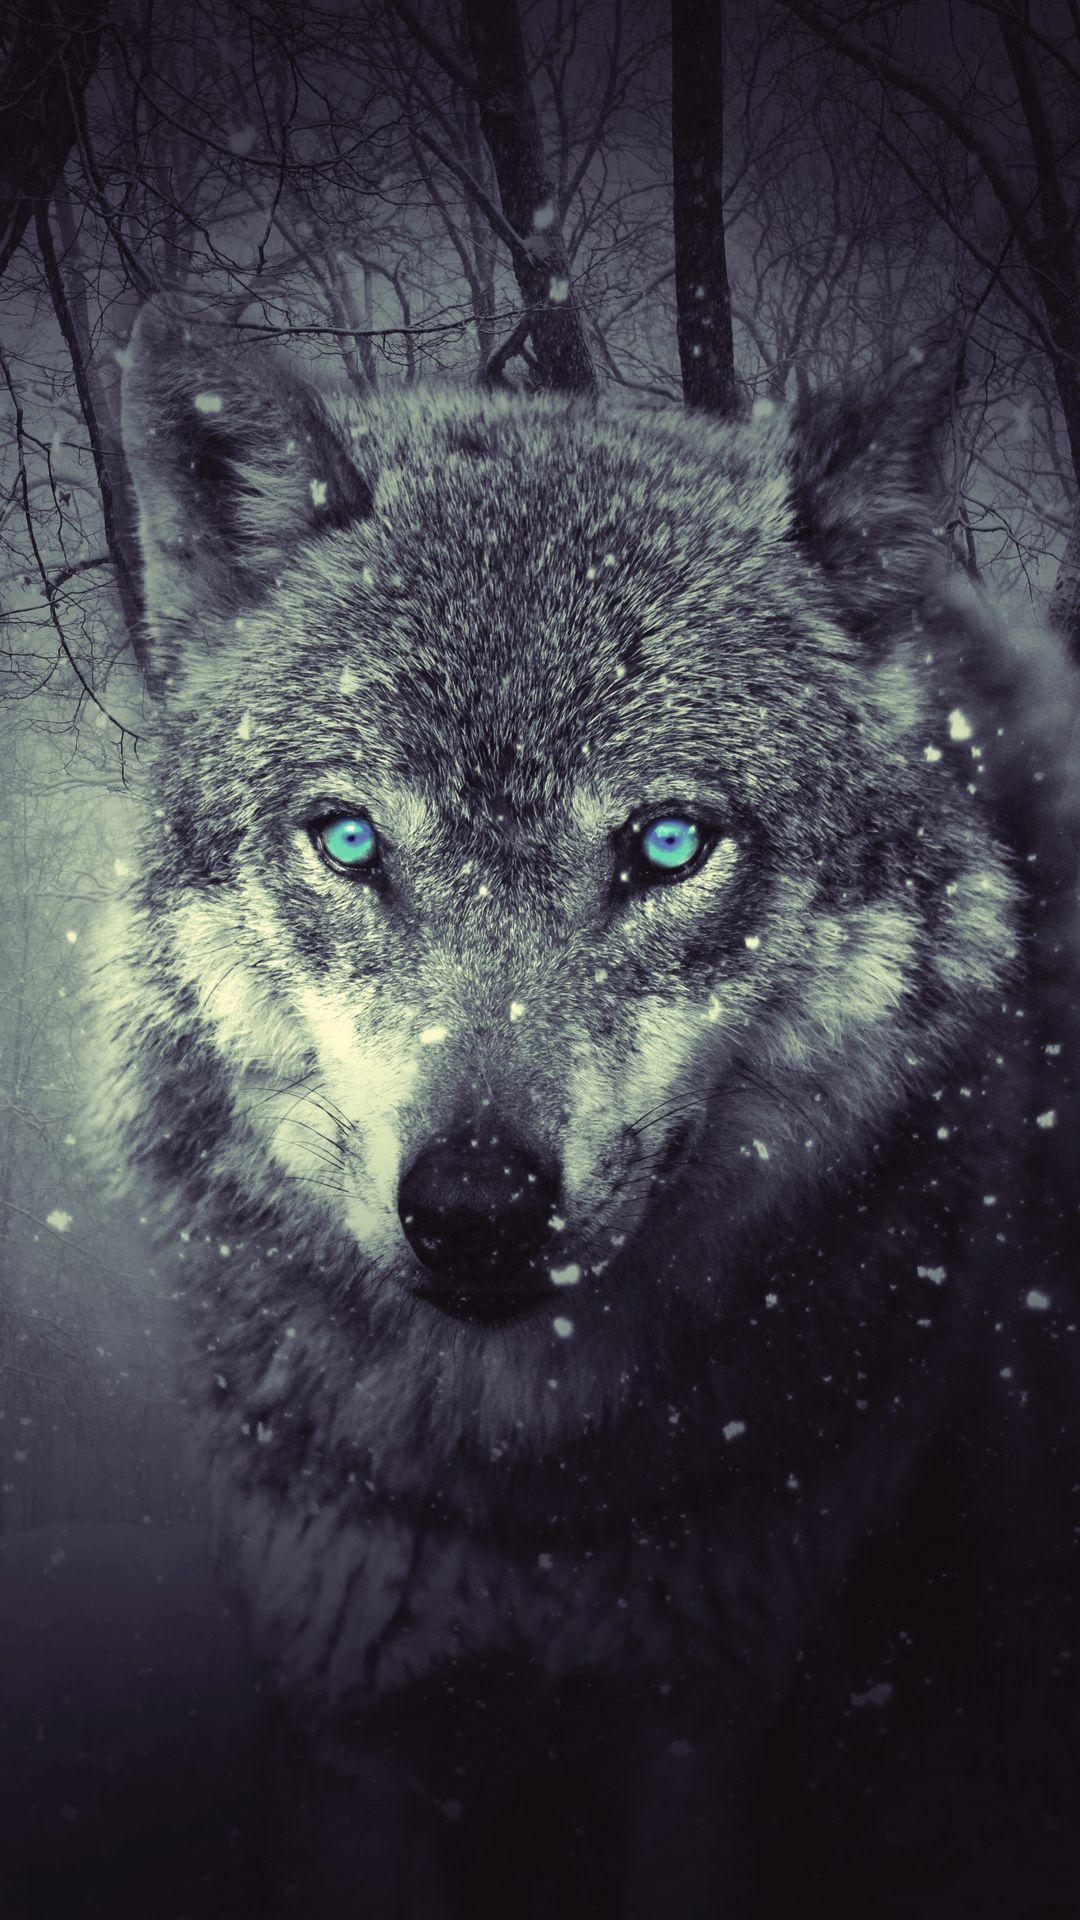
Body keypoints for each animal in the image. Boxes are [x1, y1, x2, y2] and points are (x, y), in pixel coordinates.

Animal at [94, 297, 1079, 1917]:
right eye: (350, 841)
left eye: (668, 843)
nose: (476, 1209)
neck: (523, 1498)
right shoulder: (350, 1720)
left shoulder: (706, 1720)